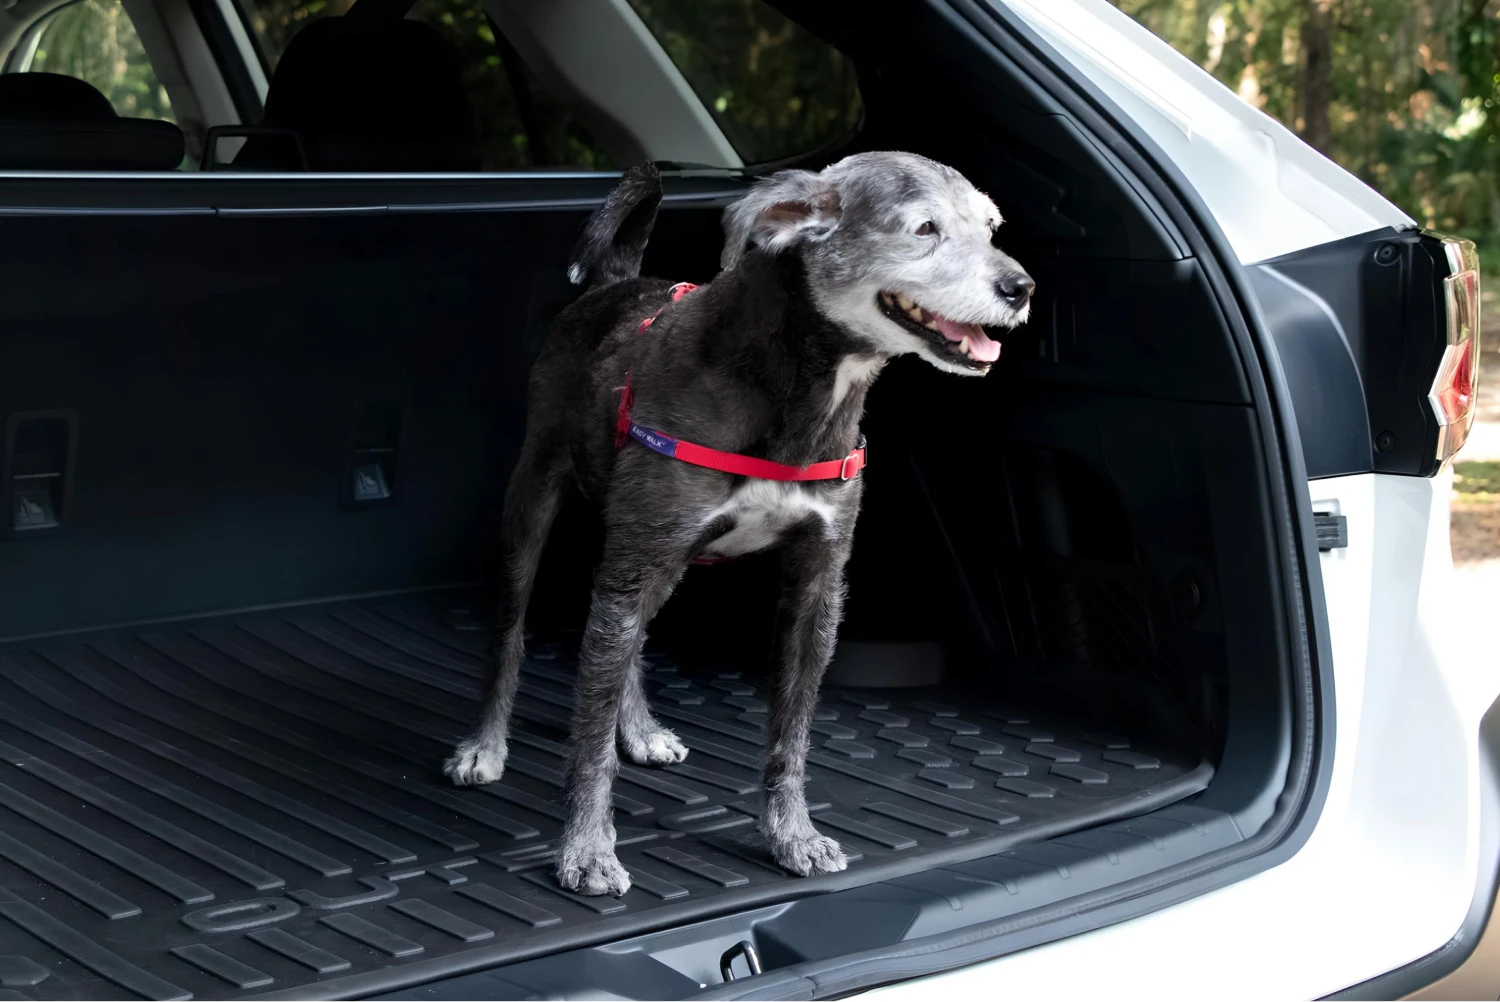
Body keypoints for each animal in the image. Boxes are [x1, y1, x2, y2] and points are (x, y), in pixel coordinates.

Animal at [444, 153, 1032, 894]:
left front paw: (792, 836)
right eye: (924, 229)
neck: (798, 387)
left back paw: (638, 728)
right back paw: (485, 744)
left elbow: (791, 734)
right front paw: (586, 849)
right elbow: (588, 740)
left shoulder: (816, 584)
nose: (1021, 287)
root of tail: (616, 284)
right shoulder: (639, 559)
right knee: (514, 629)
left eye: (991, 227)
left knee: (626, 641)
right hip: (536, 502)